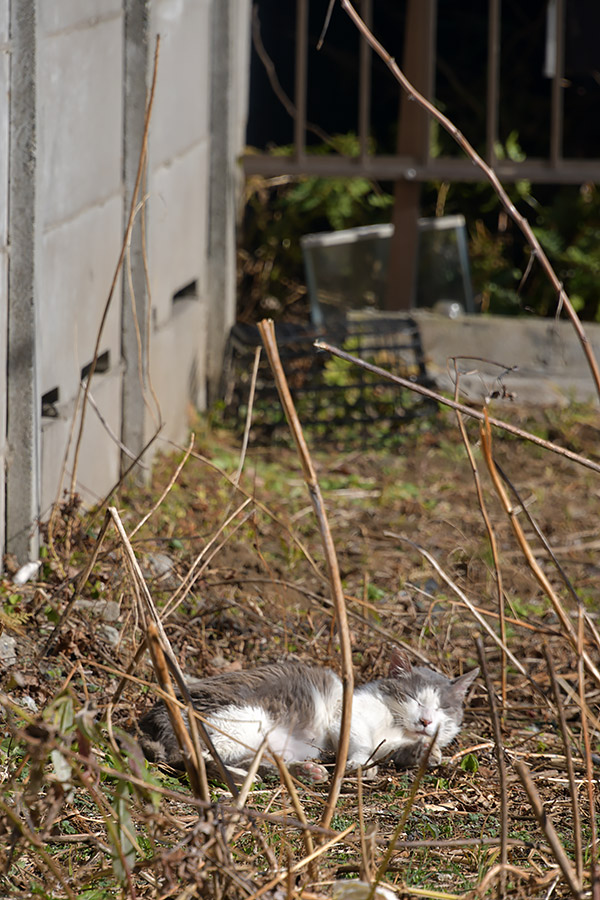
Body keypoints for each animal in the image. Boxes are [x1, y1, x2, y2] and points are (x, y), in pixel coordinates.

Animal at [138, 652, 480, 784]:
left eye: (442, 708)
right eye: (413, 698)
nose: (426, 721)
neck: (396, 727)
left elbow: (400, 752)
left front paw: (427, 753)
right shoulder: (346, 717)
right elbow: (362, 743)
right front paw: (359, 765)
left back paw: (304, 771)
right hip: (242, 719)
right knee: (193, 756)